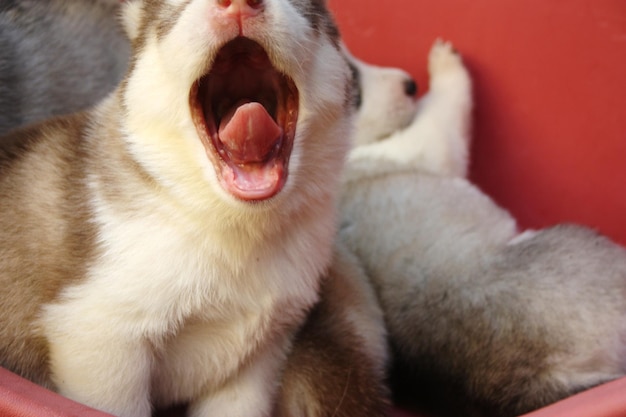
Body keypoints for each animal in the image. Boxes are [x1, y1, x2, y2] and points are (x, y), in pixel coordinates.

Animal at [338, 39, 624, 416]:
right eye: (354, 88)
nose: (410, 84)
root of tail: (535, 382)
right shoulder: (429, 143)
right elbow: (444, 107)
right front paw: (445, 67)